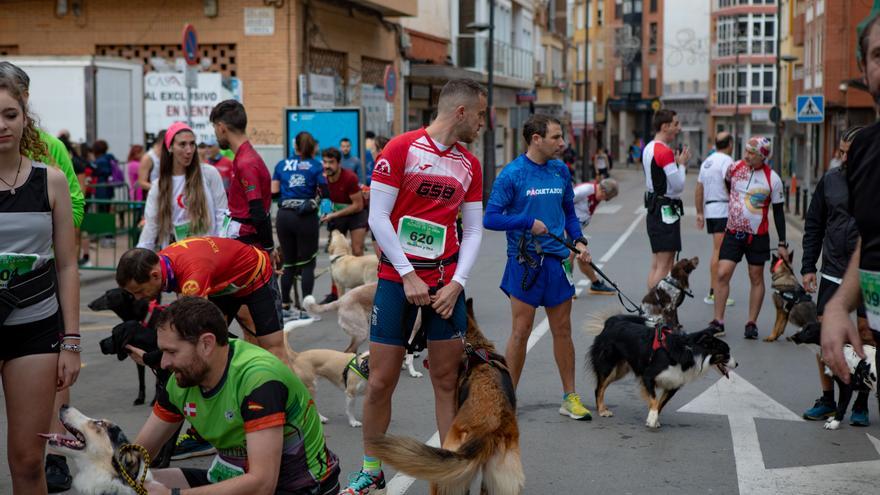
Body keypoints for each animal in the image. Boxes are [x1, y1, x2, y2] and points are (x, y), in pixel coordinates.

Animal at [592, 316, 736, 428]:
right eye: (726, 353)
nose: (737, 364)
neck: (689, 351)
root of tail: (612, 322)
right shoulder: (648, 376)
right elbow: (655, 400)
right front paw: (652, 419)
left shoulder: (674, 383)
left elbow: (660, 404)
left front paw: (654, 419)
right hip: (609, 366)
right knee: (599, 388)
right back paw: (602, 410)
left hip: (620, 370)